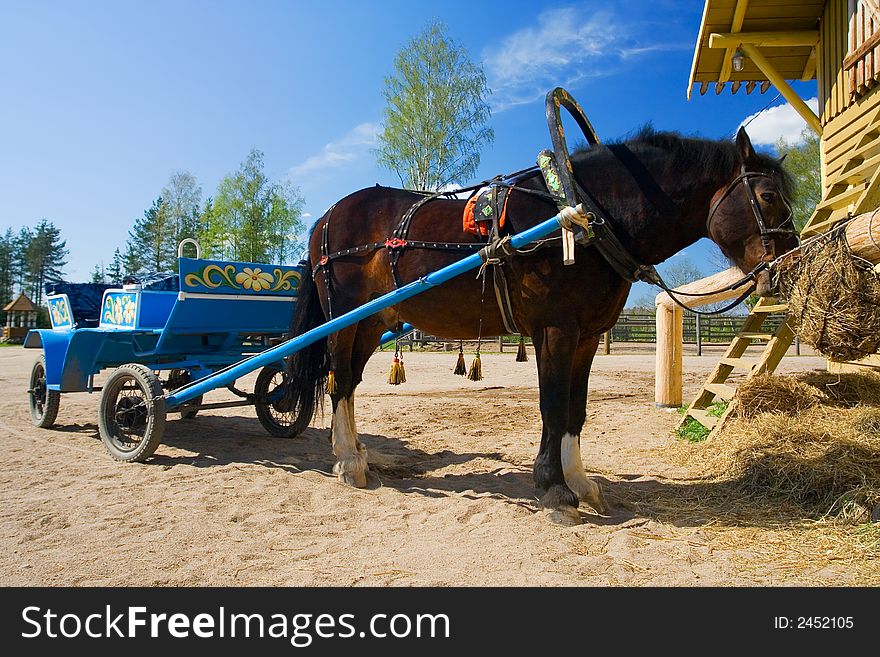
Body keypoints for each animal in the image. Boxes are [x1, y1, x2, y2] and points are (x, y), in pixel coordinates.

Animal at [284, 125, 796, 524]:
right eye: (768, 197)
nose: (790, 268)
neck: (586, 216)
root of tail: (327, 216)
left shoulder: (587, 337)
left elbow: (575, 410)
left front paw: (582, 484)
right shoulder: (555, 330)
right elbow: (552, 407)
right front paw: (554, 491)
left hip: (373, 321)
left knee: (350, 380)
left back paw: (357, 455)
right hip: (343, 319)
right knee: (339, 378)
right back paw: (348, 462)